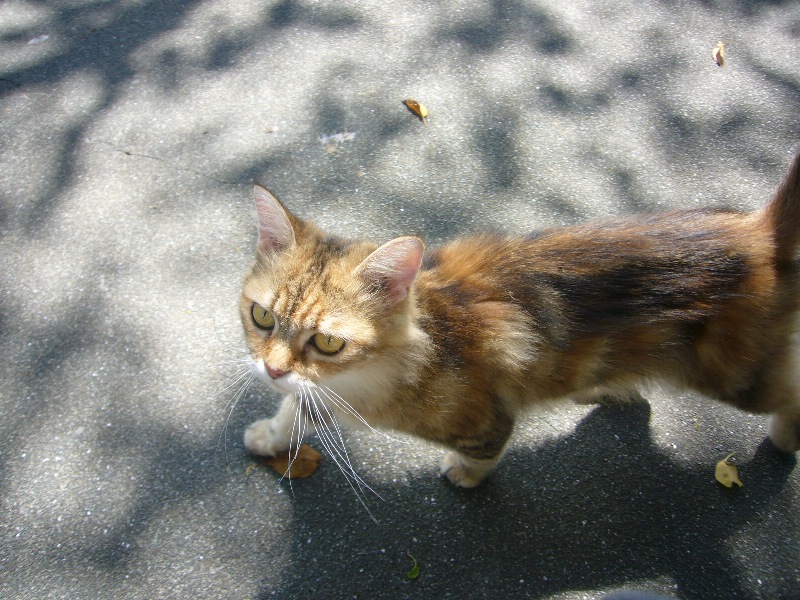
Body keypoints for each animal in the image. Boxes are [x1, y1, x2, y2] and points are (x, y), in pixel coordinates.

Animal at [239, 149, 800, 488]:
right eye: (262, 316)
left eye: (328, 343)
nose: (272, 369)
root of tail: (758, 233)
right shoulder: (316, 389)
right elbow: (294, 408)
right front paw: (272, 434)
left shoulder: (485, 419)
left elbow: (487, 451)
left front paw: (467, 476)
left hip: (738, 377)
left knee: (789, 395)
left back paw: (786, 438)